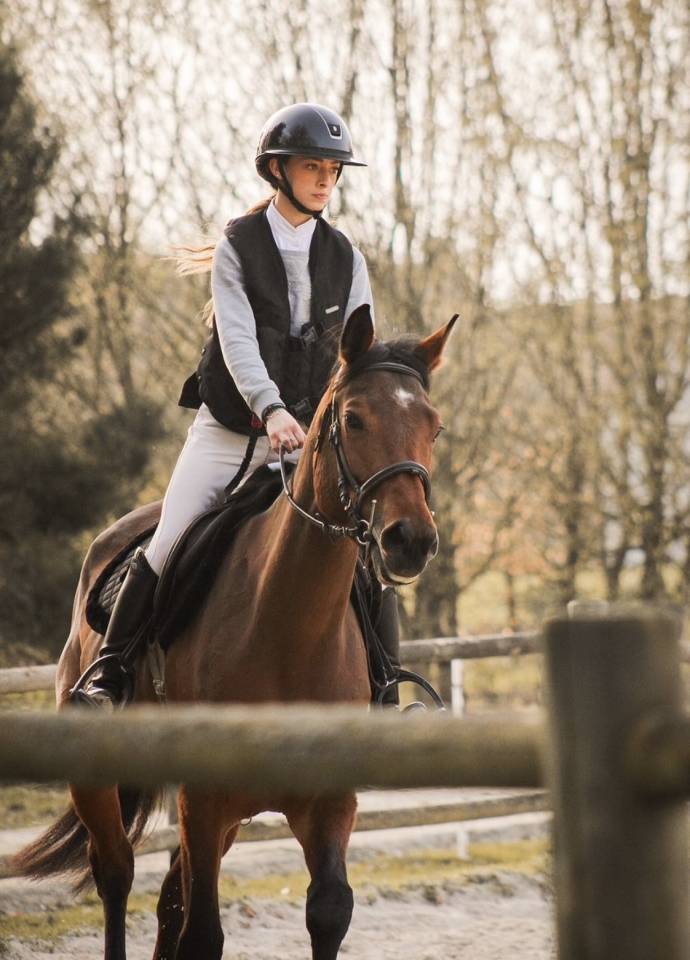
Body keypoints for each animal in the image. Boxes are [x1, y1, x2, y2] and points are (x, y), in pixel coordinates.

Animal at [15, 304, 456, 960]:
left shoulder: (328, 804)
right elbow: (202, 933)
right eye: (354, 419)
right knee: (116, 874)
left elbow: (327, 913)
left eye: (433, 425)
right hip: (102, 777)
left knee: (166, 900)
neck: (289, 630)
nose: (411, 540)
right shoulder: (205, 800)